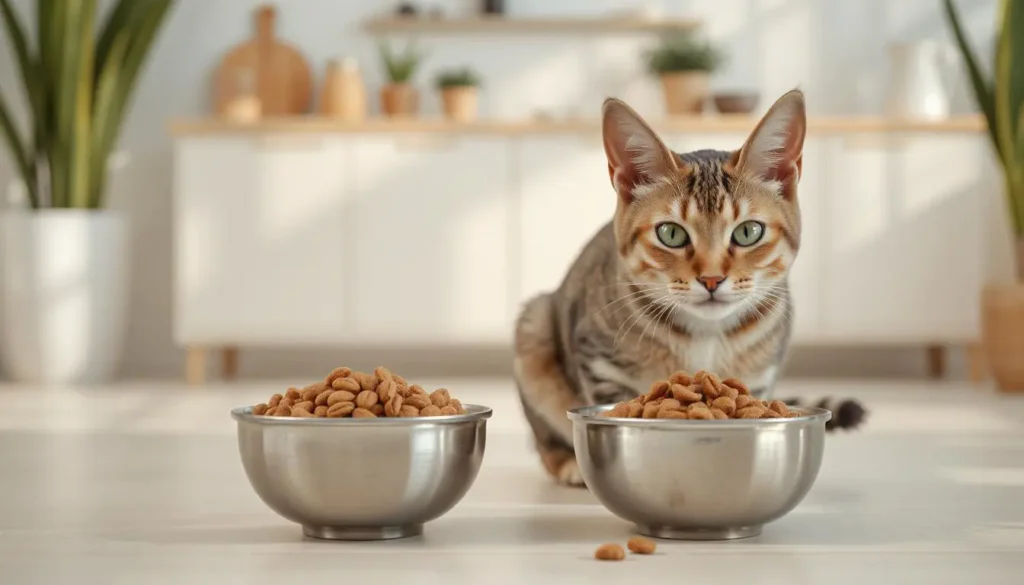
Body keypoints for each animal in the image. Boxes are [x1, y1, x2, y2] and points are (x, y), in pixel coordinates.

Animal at [512, 89, 864, 487]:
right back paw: (567, 464)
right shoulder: (599, 364)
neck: (706, 335)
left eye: (748, 231)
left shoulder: (758, 378)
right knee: (543, 440)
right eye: (671, 233)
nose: (711, 279)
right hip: (534, 326)